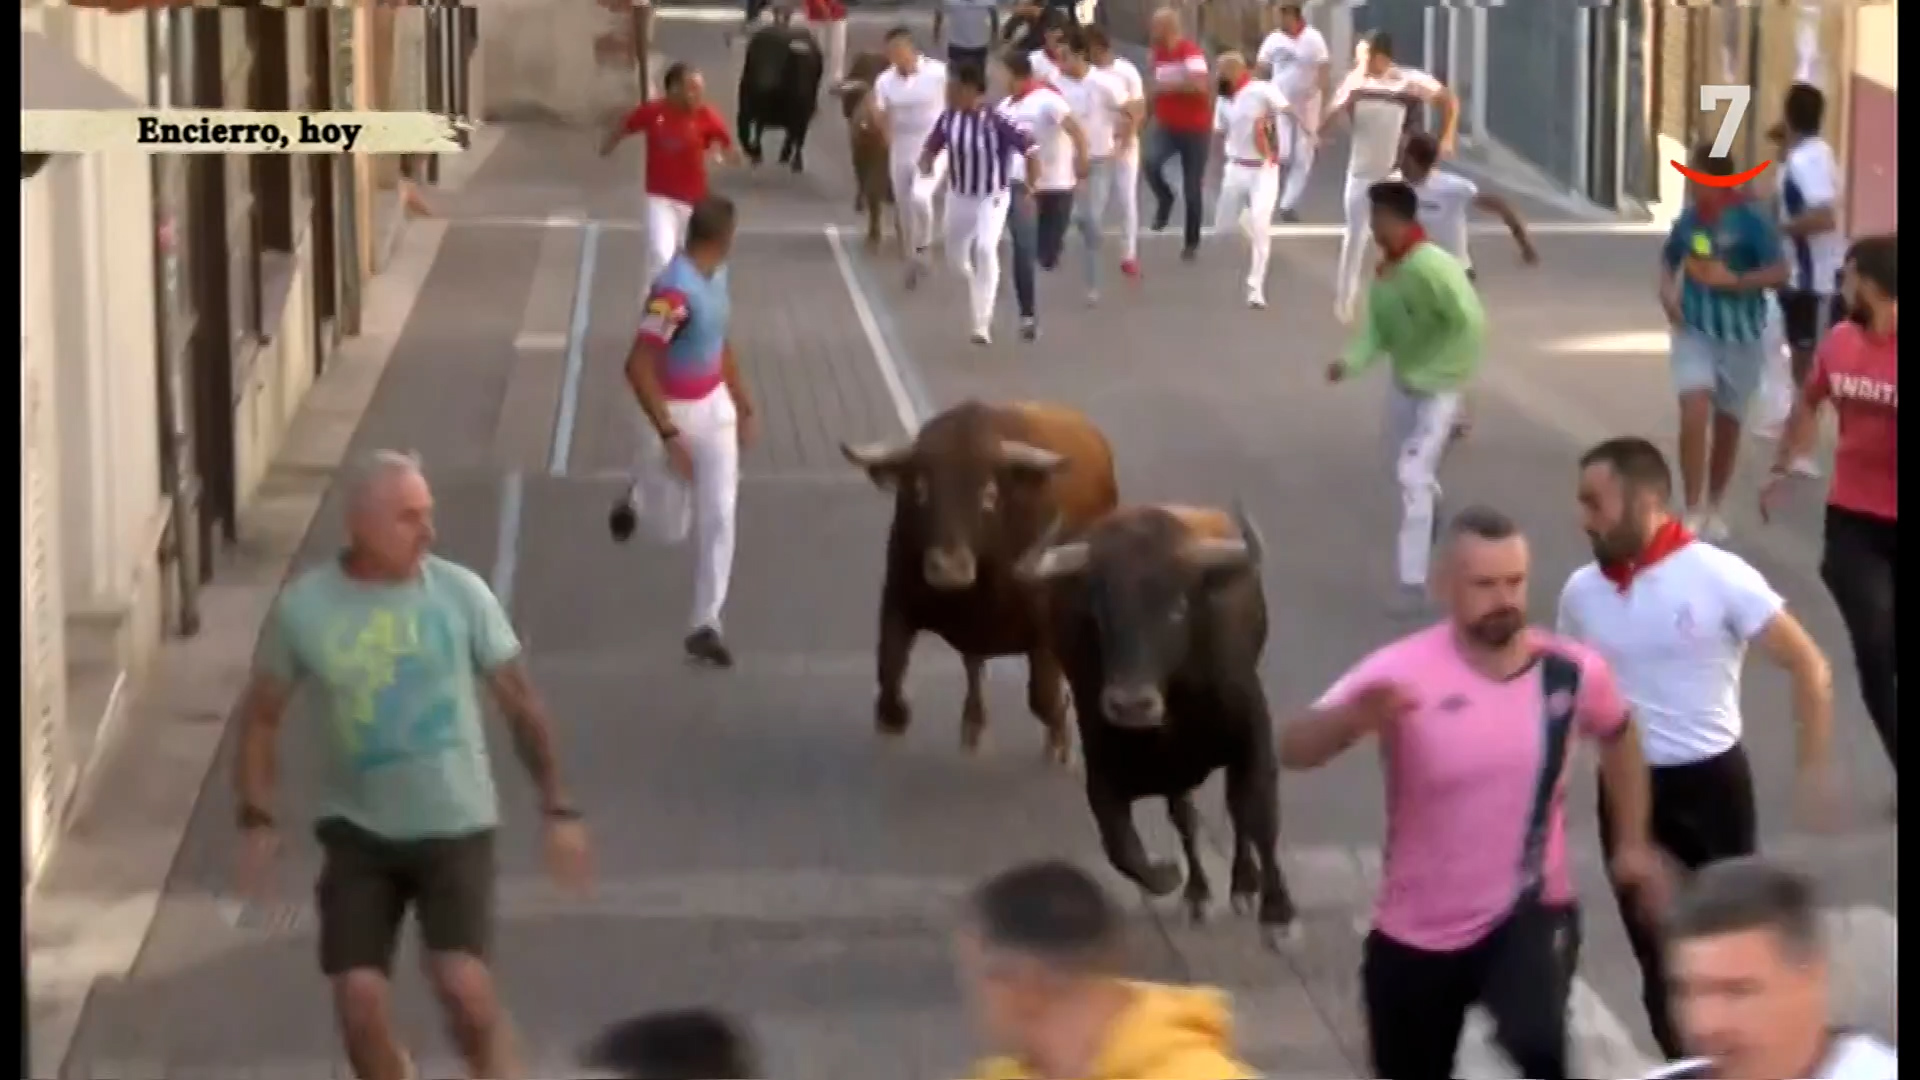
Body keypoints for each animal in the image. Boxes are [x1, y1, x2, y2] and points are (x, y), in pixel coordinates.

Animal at [733, 16, 825, 171]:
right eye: (755, 57)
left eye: (782, 58)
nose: (763, 83)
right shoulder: (747, 112)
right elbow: (747, 135)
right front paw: (755, 153)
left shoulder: (802, 116)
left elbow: (797, 139)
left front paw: (796, 163)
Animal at [833, 399, 1121, 760]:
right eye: (920, 490)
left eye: (989, 494)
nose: (949, 568)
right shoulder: (897, 602)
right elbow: (890, 679)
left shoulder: (1044, 631)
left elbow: (1044, 698)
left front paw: (1061, 744)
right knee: (973, 667)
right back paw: (973, 726)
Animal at [1021, 499, 1305, 937]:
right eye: (1099, 611)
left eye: (1177, 608)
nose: (1131, 705)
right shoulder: (1104, 769)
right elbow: (1123, 846)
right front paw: (1171, 876)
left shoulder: (1253, 739)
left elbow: (1258, 814)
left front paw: (1278, 913)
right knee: (1186, 819)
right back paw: (1198, 892)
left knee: (1238, 808)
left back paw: (1244, 884)